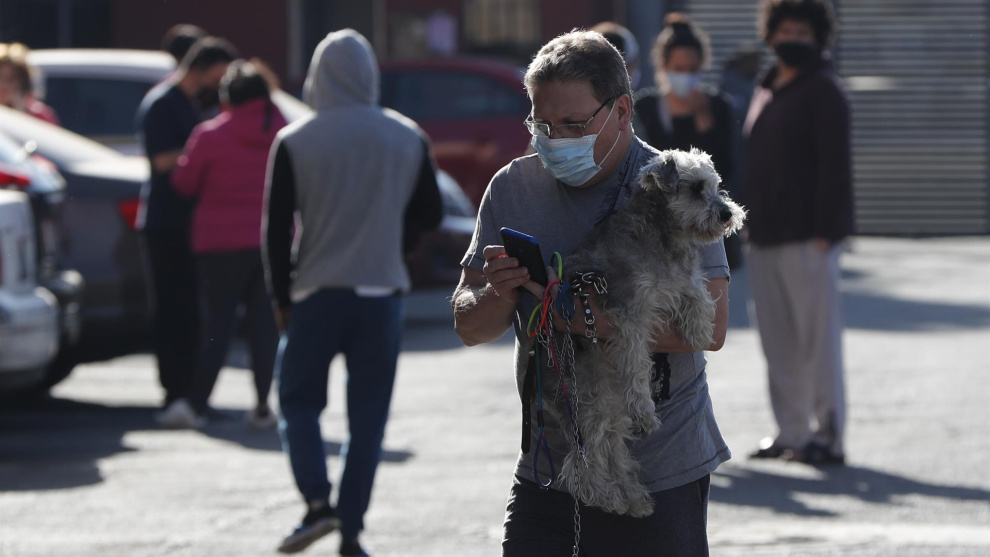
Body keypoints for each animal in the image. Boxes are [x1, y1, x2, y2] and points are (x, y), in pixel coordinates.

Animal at [558, 148, 746, 517]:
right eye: (696, 188)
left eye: (716, 185)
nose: (726, 212)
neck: (665, 235)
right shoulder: (630, 311)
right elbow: (635, 363)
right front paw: (646, 405)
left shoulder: (682, 280)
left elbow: (699, 295)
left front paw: (698, 328)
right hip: (596, 398)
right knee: (584, 460)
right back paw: (606, 495)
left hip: (612, 406)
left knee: (614, 448)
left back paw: (632, 496)